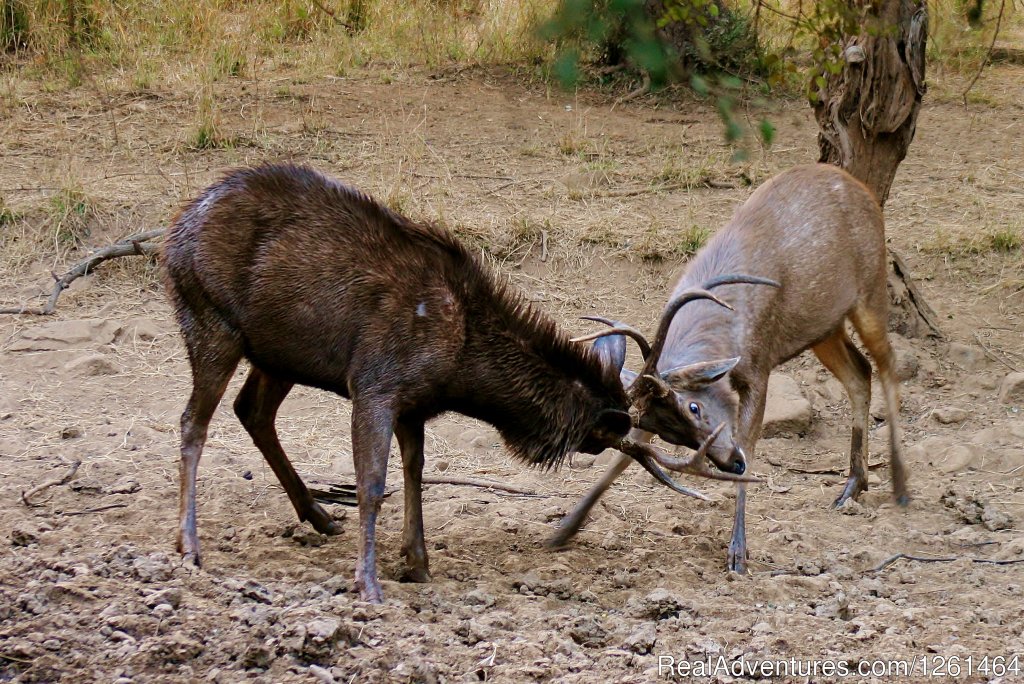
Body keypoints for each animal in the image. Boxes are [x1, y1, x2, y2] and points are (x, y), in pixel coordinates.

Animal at [163, 162, 761, 602]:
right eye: (602, 435)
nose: (731, 458)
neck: (462, 369)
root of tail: (174, 230)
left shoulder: (416, 404)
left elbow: (414, 474)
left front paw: (417, 563)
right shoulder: (376, 383)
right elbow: (372, 484)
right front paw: (369, 583)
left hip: (278, 354)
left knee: (251, 410)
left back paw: (318, 516)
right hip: (209, 319)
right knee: (193, 421)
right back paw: (189, 547)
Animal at [557, 165, 909, 573]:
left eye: (695, 406)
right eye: (666, 429)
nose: (731, 463)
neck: (724, 326)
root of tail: (861, 188)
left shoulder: (758, 367)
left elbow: (751, 444)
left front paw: (738, 551)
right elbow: (624, 456)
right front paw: (566, 527)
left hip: (870, 290)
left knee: (888, 366)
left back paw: (900, 486)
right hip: (824, 327)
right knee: (860, 373)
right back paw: (853, 484)